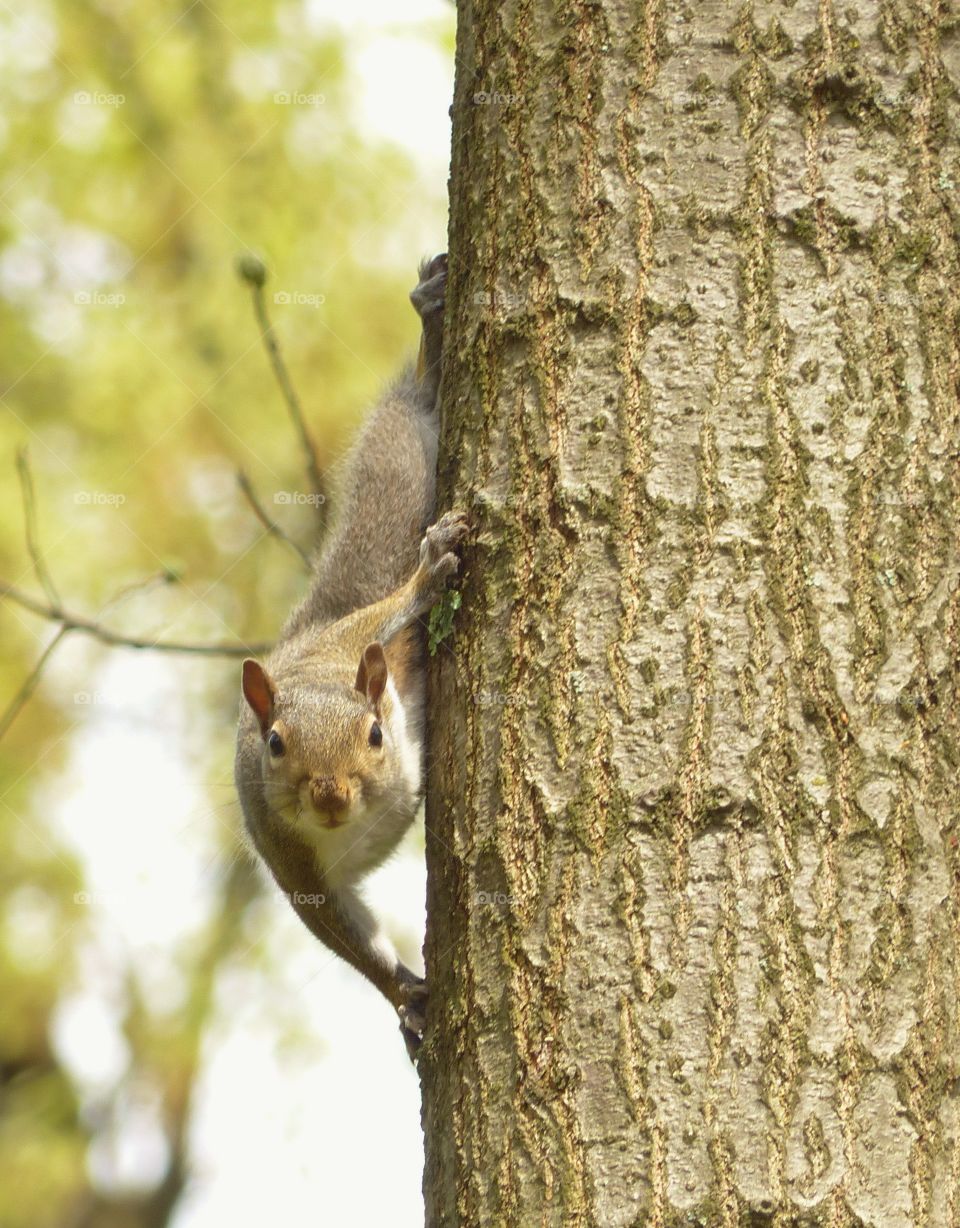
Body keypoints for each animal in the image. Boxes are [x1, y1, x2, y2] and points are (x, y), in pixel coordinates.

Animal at [236, 254, 468, 1060]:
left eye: (371, 733)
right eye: (274, 745)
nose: (331, 795)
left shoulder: (359, 644)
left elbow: (389, 610)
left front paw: (427, 577)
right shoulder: (292, 862)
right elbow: (348, 937)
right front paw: (407, 996)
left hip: (395, 458)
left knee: (422, 396)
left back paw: (432, 318)